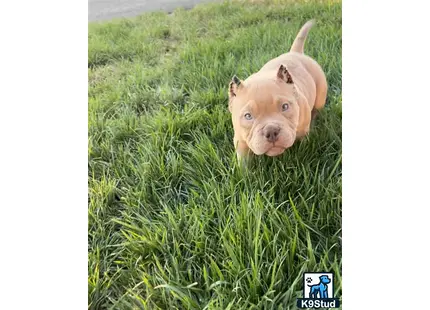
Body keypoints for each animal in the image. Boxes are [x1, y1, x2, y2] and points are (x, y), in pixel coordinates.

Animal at [228, 20, 326, 162]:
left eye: (285, 106)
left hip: (320, 96)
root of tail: (295, 53)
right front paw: (243, 169)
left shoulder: (302, 131)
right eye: (248, 116)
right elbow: (244, 161)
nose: (271, 131)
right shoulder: (240, 140)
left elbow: (304, 144)